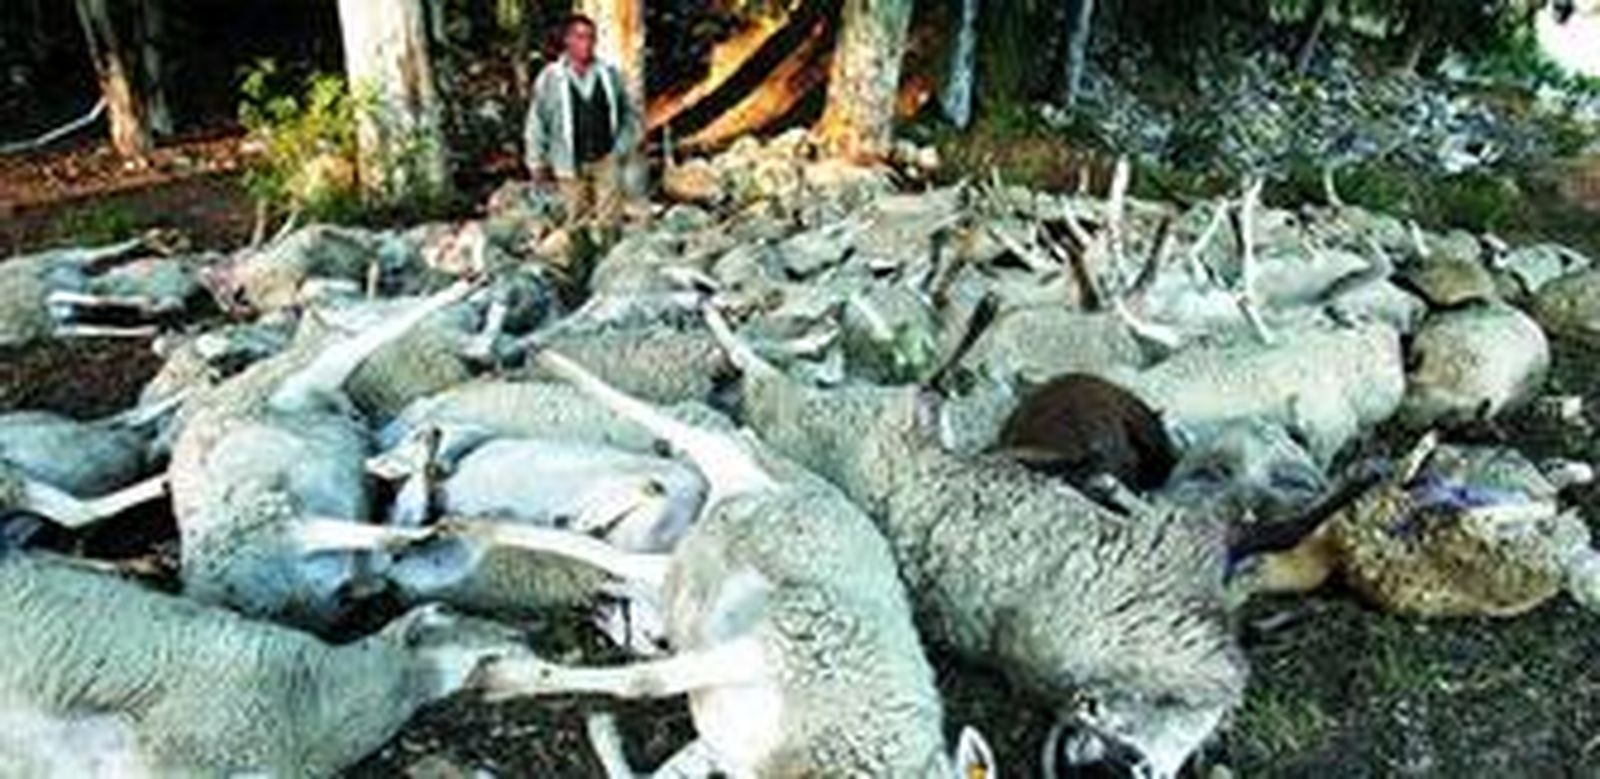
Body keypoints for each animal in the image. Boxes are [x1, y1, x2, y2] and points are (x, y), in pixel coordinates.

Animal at [167, 280, 478, 629]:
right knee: (387, 539)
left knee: (381, 550)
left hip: (314, 541)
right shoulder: (315, 371)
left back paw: (424, 455)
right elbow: (377, 335)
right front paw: (460, 289)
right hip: (279, 520)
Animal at [467, 349, 998, 779]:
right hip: (730, 468)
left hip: (677, 569)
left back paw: (474, 528)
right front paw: (501, 680)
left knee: (611, 556)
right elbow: (645, 682)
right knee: (688, 428)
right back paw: (555, 362)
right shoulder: (780, 644)